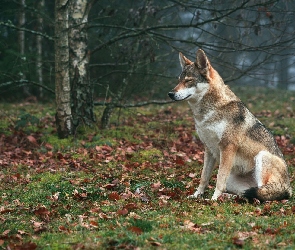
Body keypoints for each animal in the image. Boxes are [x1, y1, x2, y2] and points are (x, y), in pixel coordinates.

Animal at [169, 49, 294, 201]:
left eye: (188, 81)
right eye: (179, 81)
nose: (170, 93)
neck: (207, 113)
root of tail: (289, 189)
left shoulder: (227, 147)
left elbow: (219, 178)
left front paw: (213, 200)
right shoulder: (209, 149)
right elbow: (204, 177)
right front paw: (197, 195)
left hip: (262, 157)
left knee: (262, 193)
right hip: (233, 180)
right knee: (245, 193)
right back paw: (230, 197)